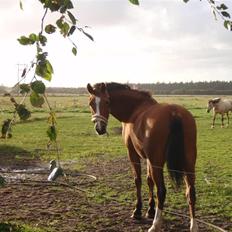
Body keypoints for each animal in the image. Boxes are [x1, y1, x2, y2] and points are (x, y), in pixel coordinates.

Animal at [86, 82, 198, 232]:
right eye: (91, 103)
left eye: (107, 102)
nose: (100, 128)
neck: (135, 110)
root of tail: (173, 113)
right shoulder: (148, 159)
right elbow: (149, 180)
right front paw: (150, 210)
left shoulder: (133, 154)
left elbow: (138, 180)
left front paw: (137, 211)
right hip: (189, 162)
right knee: (191, 191)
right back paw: (193, 225)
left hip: (158, 162)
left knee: (162, 191)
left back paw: (155, 224)